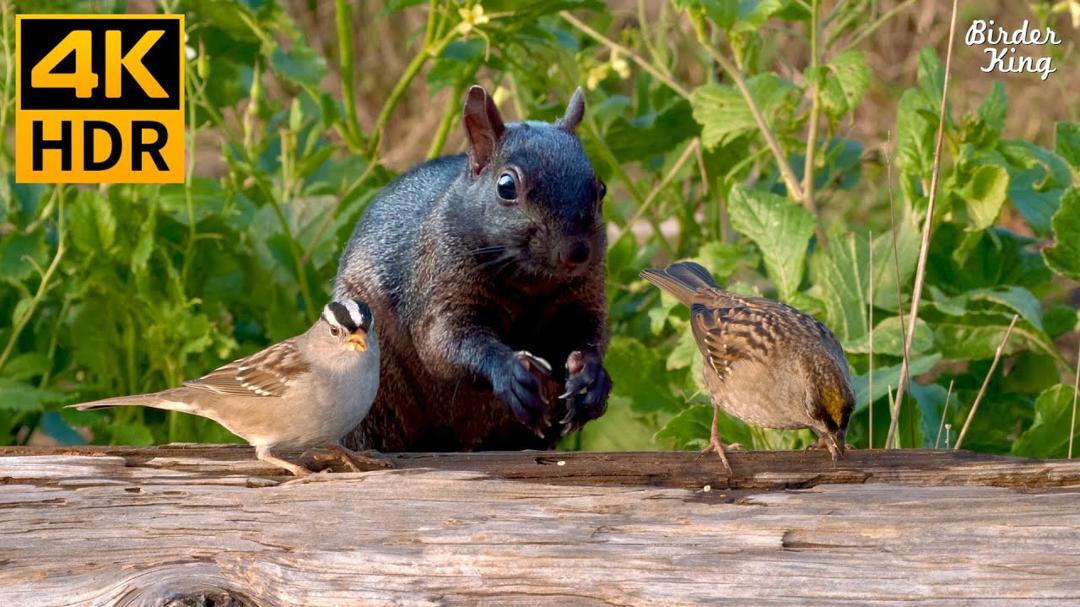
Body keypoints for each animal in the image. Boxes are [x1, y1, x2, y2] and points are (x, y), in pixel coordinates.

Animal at [334, 85, 612, 451]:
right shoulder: (439, 281)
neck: (533, 284)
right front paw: (510, 371)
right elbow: (444, 342)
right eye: (506, 186)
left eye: (601, 189)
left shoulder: (582, 298)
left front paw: (591, 379)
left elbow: (591, 335)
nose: (576, 251)